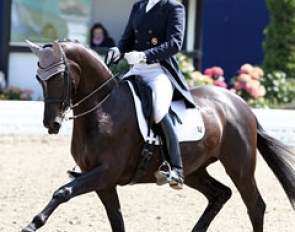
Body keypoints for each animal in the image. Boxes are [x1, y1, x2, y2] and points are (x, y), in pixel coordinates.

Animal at [23, 40, 295, 232]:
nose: (52, 124)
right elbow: (116, 221)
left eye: (59, 76)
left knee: (255, 206)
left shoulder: (105, 172)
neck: (103, 107)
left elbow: (63, 192)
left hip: (240, 166)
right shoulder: (104, 181)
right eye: (38, 78)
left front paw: (32, 224)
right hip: (195, 169)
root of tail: (240, 103)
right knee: (220, 194)